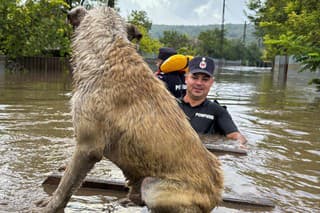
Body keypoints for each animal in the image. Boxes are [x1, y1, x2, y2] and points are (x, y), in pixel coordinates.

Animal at [35, 6, 222, 213]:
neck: (108, 52)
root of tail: (215, 196)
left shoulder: (88, 147)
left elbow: (66, 184)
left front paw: (50, 206)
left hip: (153, 187)